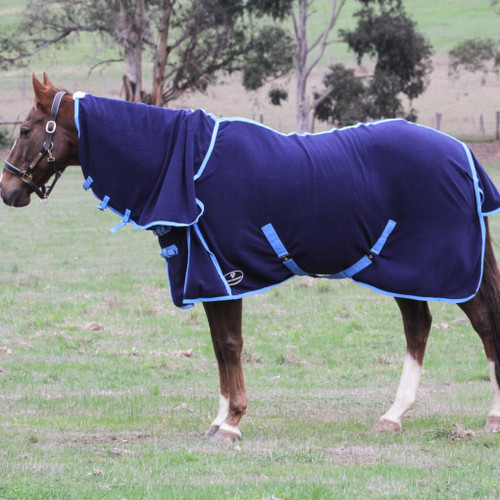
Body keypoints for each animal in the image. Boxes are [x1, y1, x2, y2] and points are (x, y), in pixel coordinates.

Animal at [0, 72, 500, 440]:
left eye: (24, 130)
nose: (7, 191)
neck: (189, 168)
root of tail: (463, 154)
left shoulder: (222, 273)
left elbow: (228, 344)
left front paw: (232, 423)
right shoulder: (209, 279)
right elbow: (219, 347)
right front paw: (219, 418)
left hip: (447, 271)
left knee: (483, 324)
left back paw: (491, 416)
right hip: (402, 272)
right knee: (418, 327)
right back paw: (392, 416)